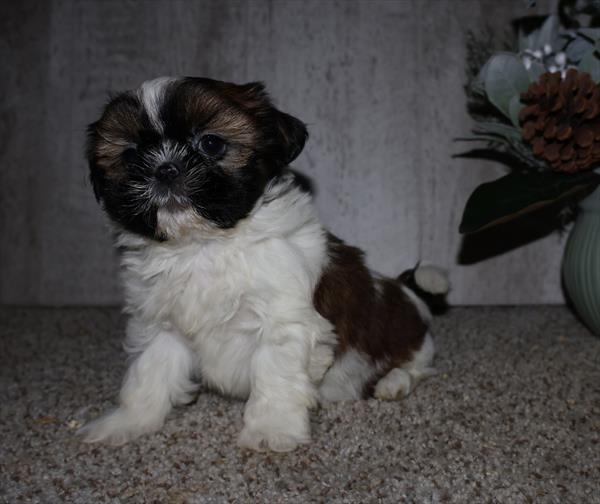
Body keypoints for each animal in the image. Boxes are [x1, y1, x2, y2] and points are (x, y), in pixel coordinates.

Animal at [78, 77, 446, 450]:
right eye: (131, 155)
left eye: (211, 143)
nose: (164, 168)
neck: (203, 247)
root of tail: (407, 293)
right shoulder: (160, 323)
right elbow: (148, 373)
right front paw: (128, 422)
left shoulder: (284, 320)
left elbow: (276, 375)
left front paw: (272, 429)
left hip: (410, 344)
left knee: (417, 367)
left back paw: (393, 382)